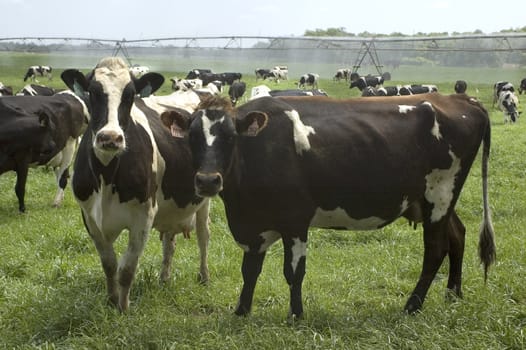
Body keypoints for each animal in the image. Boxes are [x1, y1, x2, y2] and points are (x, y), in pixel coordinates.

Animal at [60, 57, 212, 312]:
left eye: (130, 95)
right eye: (92, 92)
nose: (110, 138)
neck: (106, 175)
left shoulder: (143, 216)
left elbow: (127, 268)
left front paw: (123, 307)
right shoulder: (90, 217)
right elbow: (109, 264)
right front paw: (111, 300)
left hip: (206, 196)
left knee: (203, 236)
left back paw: (203, 276)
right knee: (169, 244)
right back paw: (164, 278)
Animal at [179, 92, 498, 318]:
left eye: (231, 137)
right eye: (192, 137)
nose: (207, 180)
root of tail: (462, 99)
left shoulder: (295, 221)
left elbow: (294, 271)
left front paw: (296, 315)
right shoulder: (254, 223)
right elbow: (250, 269)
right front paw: (242, 311)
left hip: (439, 195)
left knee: (435, 250)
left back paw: (412, 305)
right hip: (436, 201)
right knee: (457, 236)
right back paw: (453, 294)